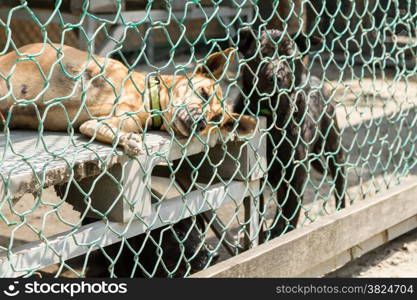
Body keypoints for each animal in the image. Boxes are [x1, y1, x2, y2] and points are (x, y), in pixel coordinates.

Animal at [0, 43, 255, 156]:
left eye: (217, 119)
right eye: (203, 93)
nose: (202, 123)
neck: (150, 100)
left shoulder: (104, 121)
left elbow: (99, 127)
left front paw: (125, 140)